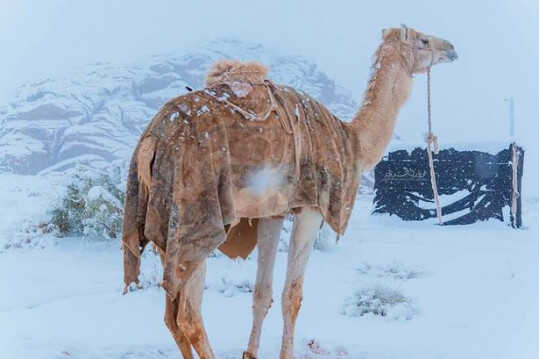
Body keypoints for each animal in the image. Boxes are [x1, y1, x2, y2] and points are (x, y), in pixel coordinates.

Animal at [121, 23, 456, 358]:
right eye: (423, 40)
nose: (451, 48)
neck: (351, 141)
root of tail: (150, 142)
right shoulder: (311, 207)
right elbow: (292, 296)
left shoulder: (273, 211)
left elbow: (261, 293)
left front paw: (250, 353)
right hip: (194, 216)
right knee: (188, 316)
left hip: (164, 225)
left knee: (172, 316)